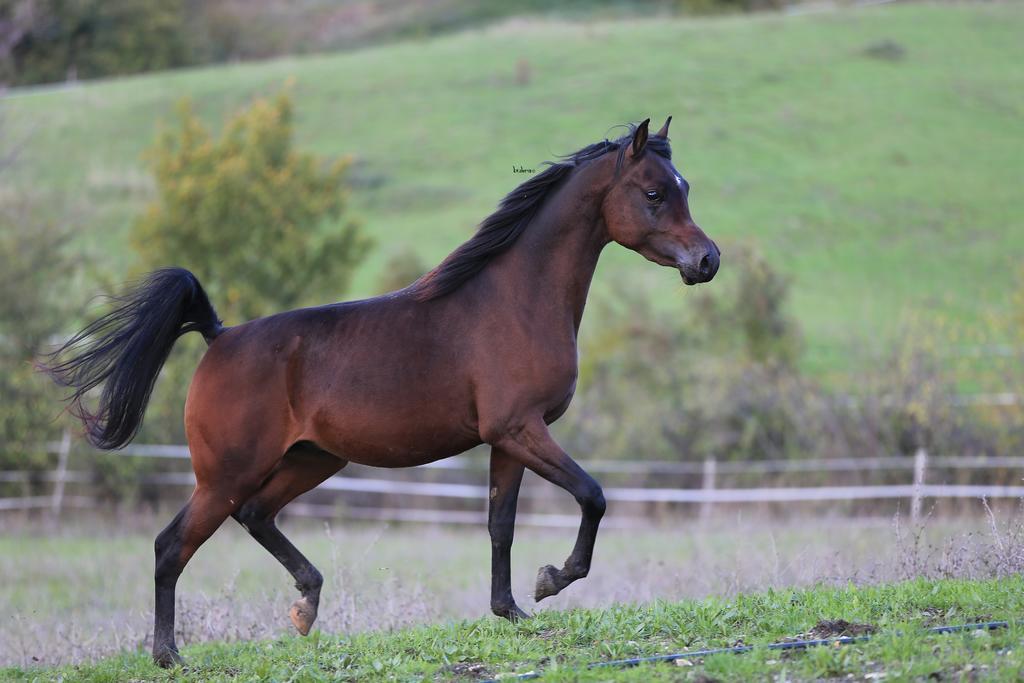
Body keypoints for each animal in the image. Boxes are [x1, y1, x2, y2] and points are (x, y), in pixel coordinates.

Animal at [44, 118, 720, 667]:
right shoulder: (521, 429)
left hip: (311, 459)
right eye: (655, 192)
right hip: (226, 474)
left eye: (685, 186)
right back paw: (169, 655)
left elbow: (500, 524)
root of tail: (219, 335)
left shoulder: (509, 439)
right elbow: (592, 495)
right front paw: (553, 579)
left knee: (255, 515)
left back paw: (306, 605)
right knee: (172, 546)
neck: (515, 300)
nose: (707, 260)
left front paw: (512, 609)